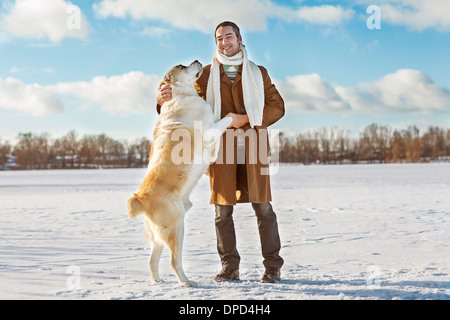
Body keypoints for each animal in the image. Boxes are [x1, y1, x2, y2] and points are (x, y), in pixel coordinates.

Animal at [126, 60, 232, 288]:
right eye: (182, 66)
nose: (197, 60)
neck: (179, 94)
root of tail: (141, 199)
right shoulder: (209, 130)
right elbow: (223, 122)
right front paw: (231, 116)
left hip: (160, 234)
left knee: (152, 259)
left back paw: (157, 280)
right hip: (177, 228)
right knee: (175, 261)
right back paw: (187, 282)